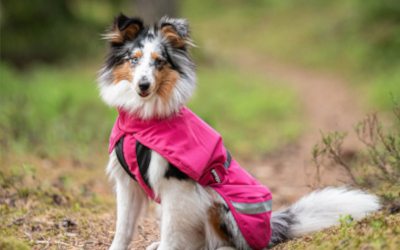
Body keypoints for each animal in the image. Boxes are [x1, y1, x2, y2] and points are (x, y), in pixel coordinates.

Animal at [97, 14, 382, 250]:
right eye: (134, 59)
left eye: (158, 62)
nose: (143, 85)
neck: (142, 123)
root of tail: (271, 230)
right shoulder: (127, 183)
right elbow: (123, 229)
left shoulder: (176, 185)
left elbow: (170, 232)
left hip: (220, 201)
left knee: (228, 243)